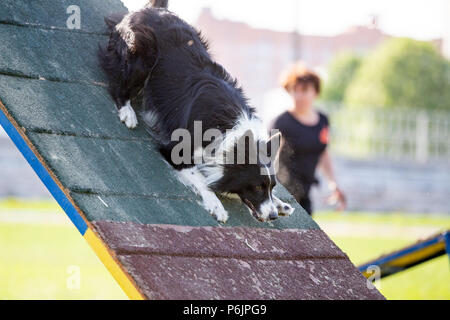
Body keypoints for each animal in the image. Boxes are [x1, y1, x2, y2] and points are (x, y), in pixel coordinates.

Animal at [98, 0, 294, 222]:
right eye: (257, 187)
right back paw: (127, 112)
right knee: (118, 84)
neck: (229, 132)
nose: (273, 216)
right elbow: (199, 178)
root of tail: (154, 9)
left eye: (272, 186)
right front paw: (216, 206)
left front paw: (280, 203)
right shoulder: (175, 149)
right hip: (143, 51)